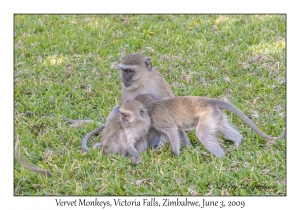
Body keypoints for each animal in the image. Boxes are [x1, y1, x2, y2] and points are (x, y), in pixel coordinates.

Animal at [131, 94, 286, 157]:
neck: (151, 107)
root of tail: (210, 101)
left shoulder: (160, 120)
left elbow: (172, 132)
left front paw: (176, 155)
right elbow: (171, 133)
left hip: (208, 114)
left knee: (202, 134)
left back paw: (220, 157)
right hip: (216, 114)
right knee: (220, 128)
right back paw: (237, 141)